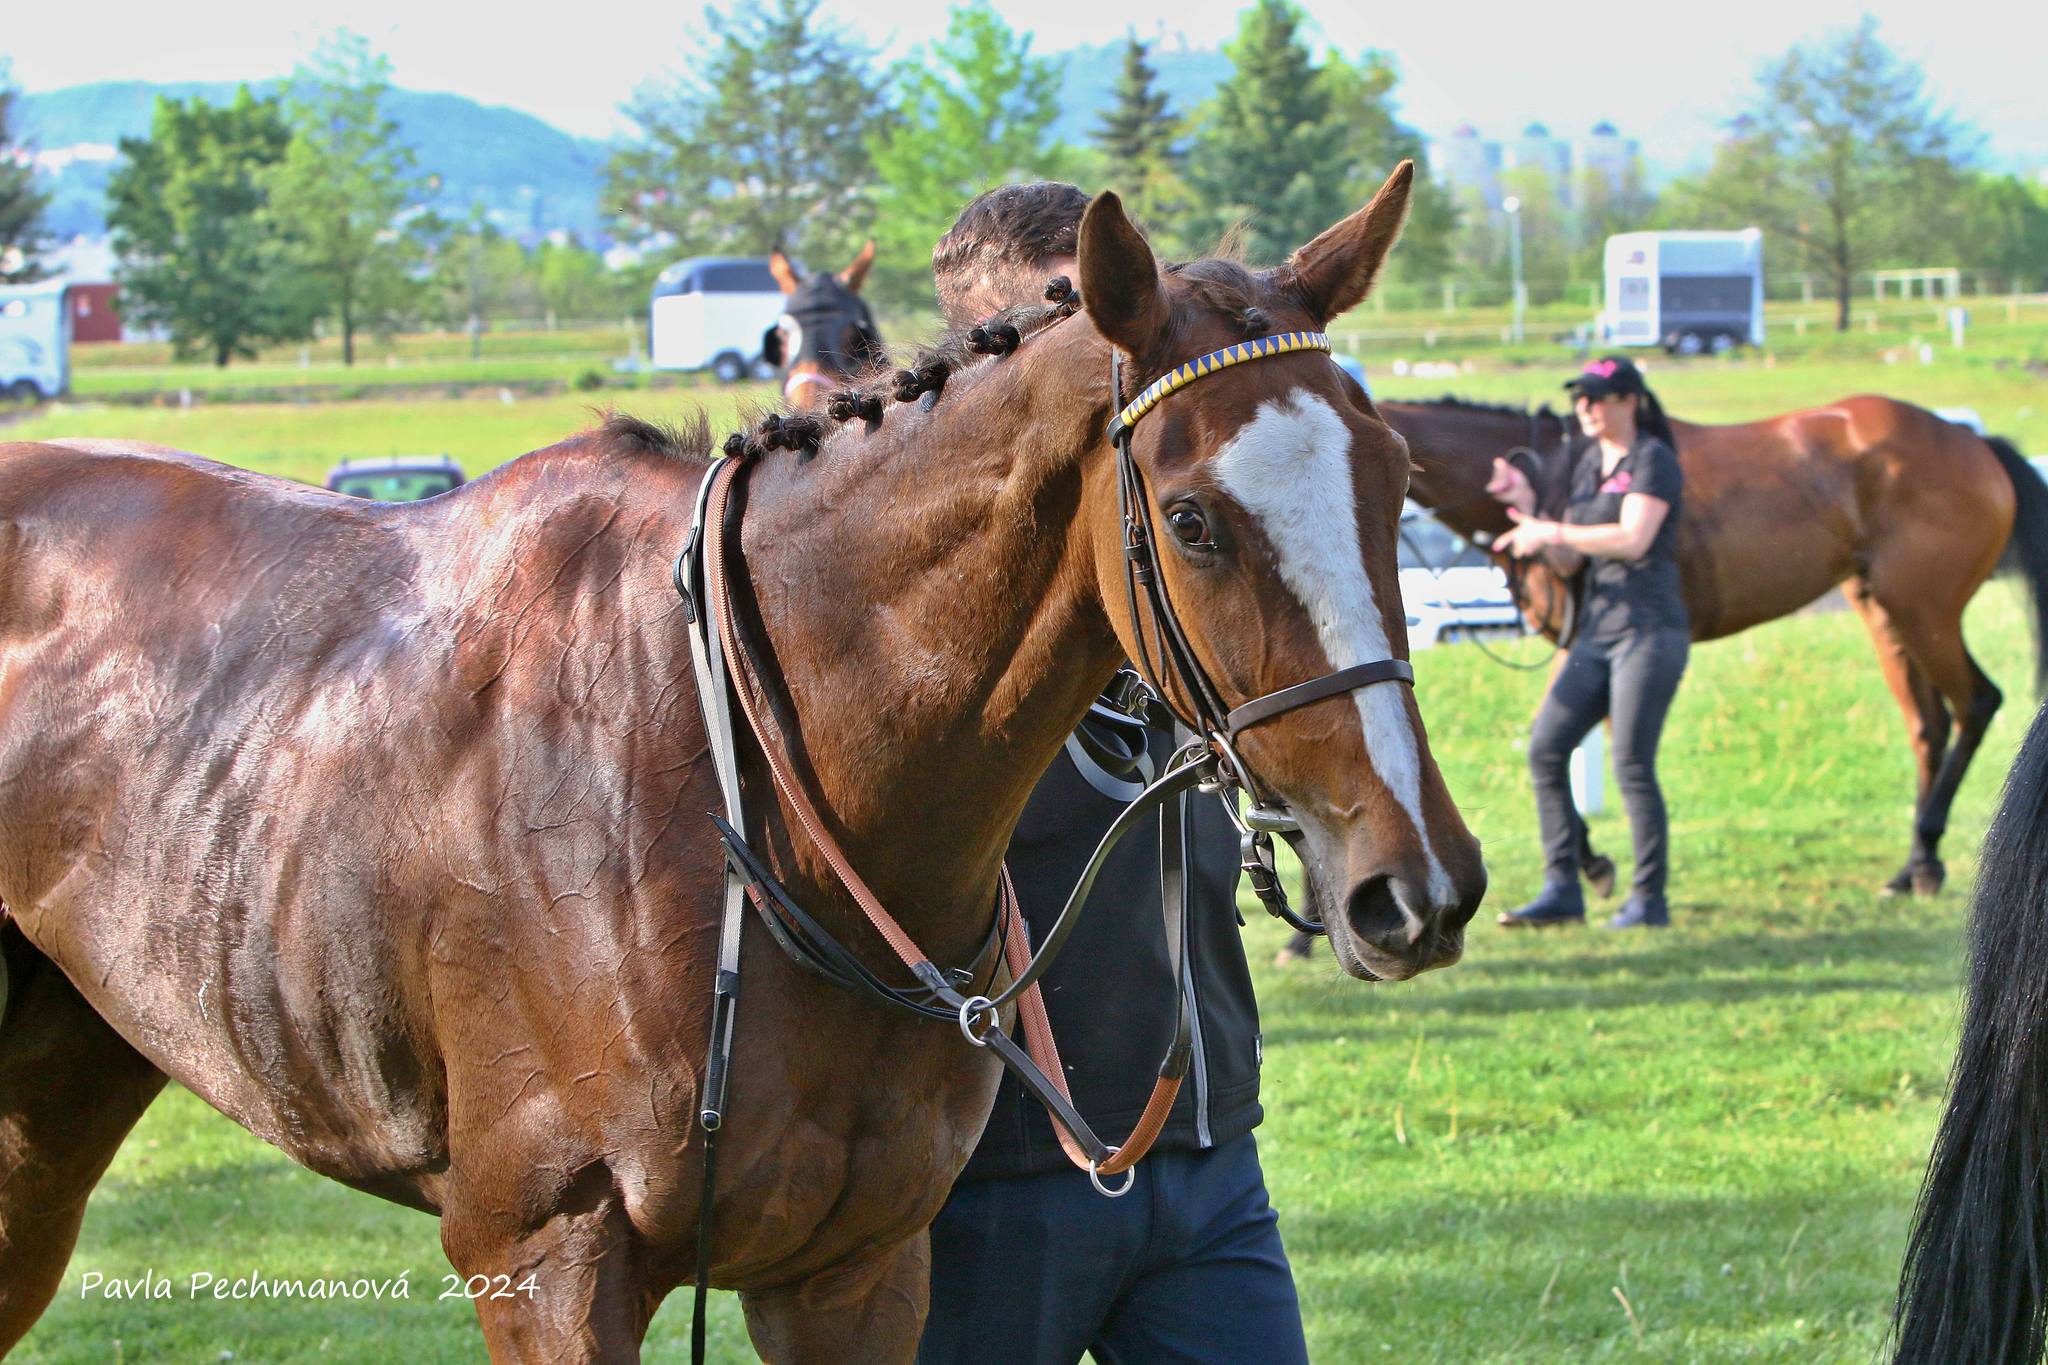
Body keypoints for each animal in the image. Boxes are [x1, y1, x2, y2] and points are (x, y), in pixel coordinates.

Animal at [1392, 394, 2048, 896]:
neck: (1554, 470)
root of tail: (1968, 439)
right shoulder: (1579, 645)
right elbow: (1553, 739)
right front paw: (1591, 861)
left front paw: (1594, 864)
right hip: (1884, 611)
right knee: (1929, 725)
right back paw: (1913, 864)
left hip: (1926, 609)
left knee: (1977, 703)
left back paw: (1927, 852)